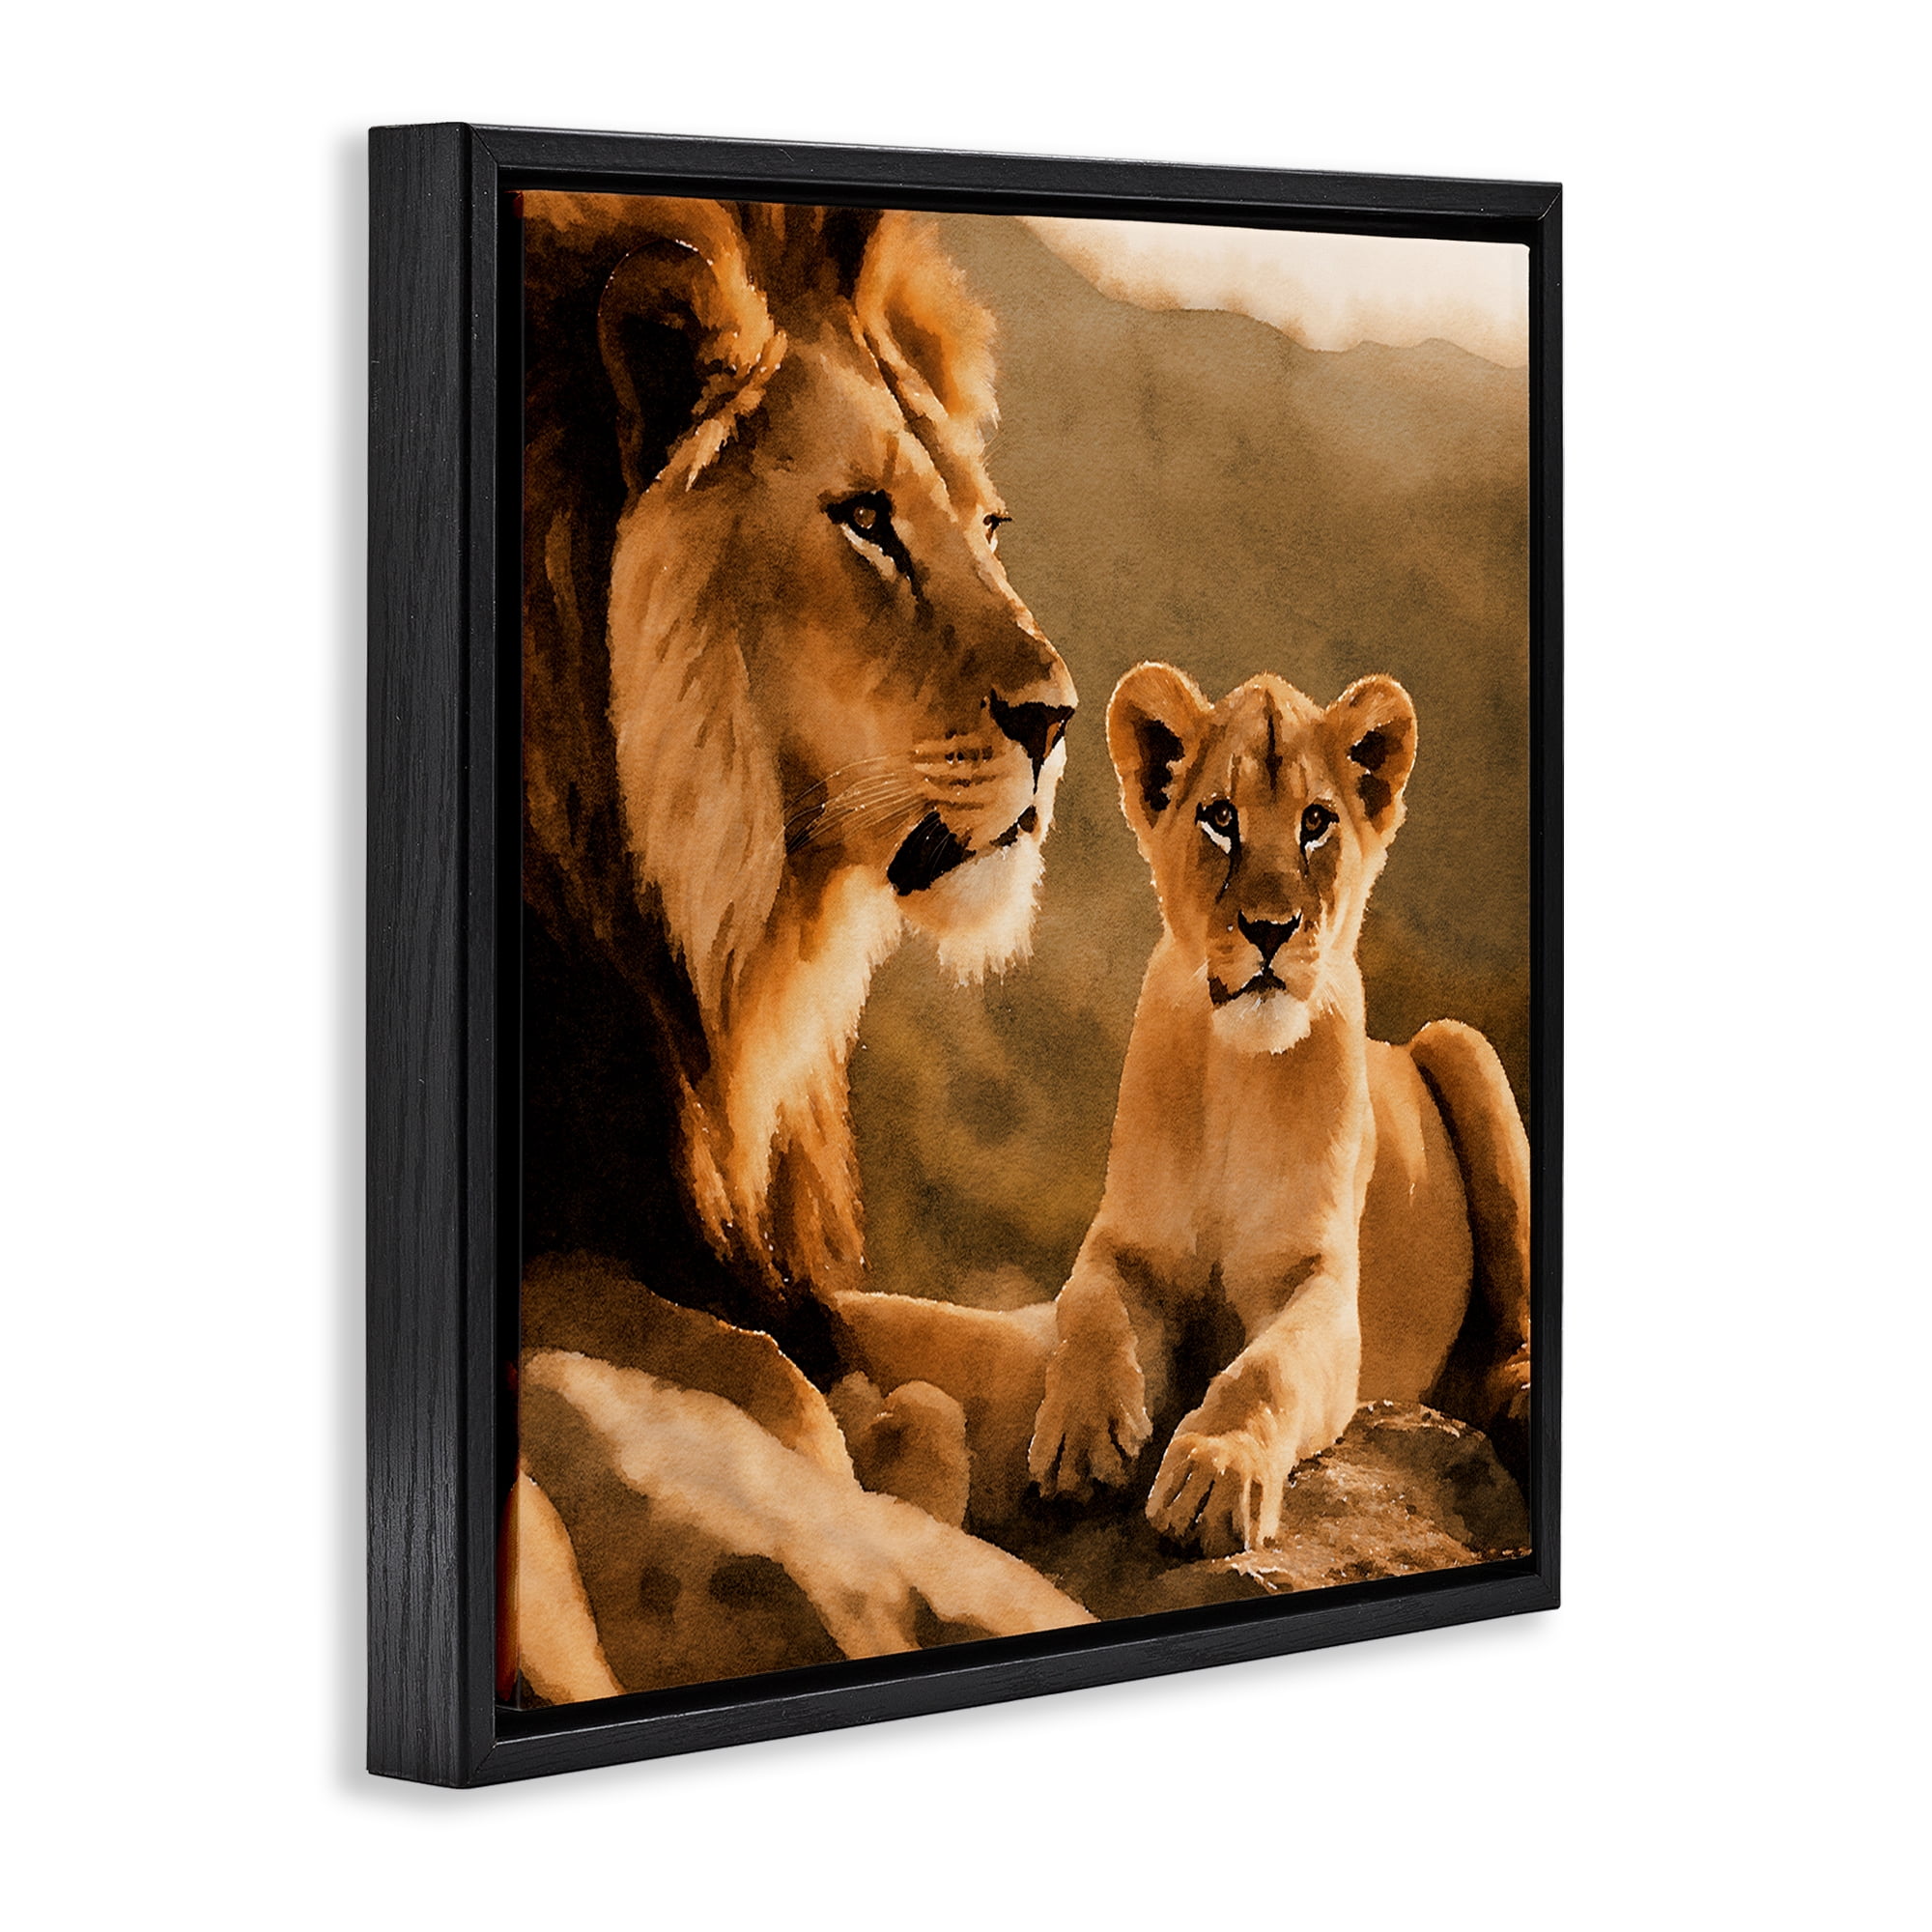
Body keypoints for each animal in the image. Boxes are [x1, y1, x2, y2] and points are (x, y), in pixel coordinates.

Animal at [513, 194, 1084, 1696]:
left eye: (987, 523)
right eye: (866, 520)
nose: (1060, 718)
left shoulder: (757, 1257)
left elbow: (995, 1344)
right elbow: (782, 1396)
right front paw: (884, 1464)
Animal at [1026, 662, 1532, 1557]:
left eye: (1316, 823)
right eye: (1220, 819)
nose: (1270, 929)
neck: (1239, 1073)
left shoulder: (1322, 1283)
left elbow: (1265, 1370)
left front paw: (1214, 1472)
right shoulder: (1125, 1243)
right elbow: (1088, 1308)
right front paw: (1080, 1434)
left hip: (1462, 1043)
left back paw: (1521, 1391)